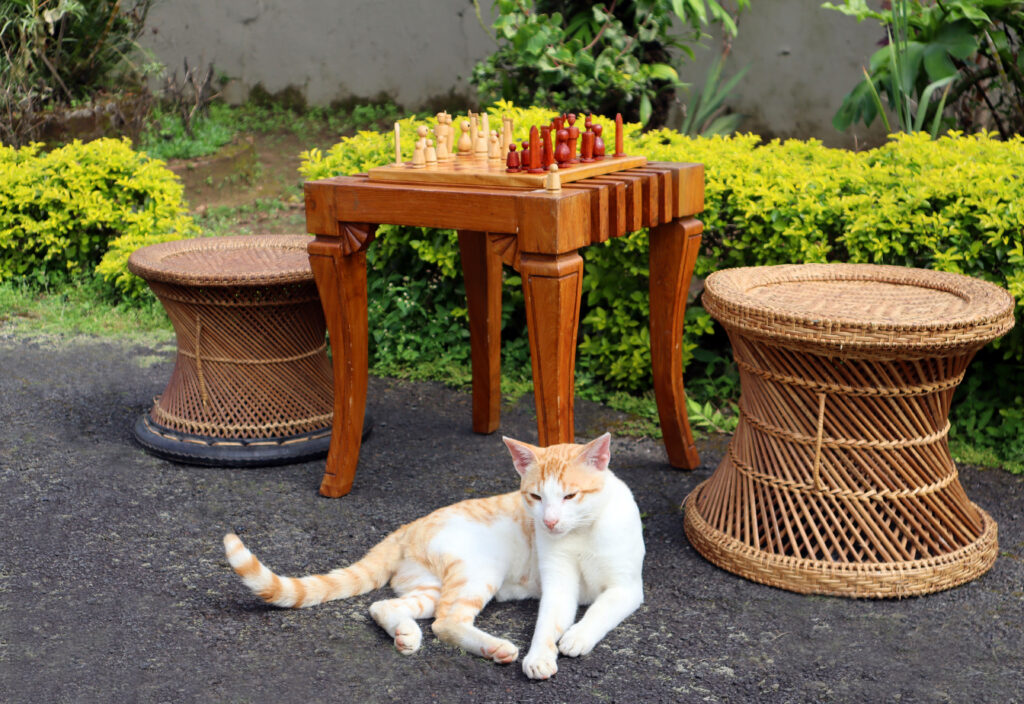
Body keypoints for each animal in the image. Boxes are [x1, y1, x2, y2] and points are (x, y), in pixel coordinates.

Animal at [224, 431, 643, 679]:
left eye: (570, 496)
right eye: (535, 497)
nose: (550, 521)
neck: (582, 532)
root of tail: (408, 526)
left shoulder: (626, 588)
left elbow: (600, 610)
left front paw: (577, 637)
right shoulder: (558, 586)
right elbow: (546, 625)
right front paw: (541, 654)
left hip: (431, 586)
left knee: (384, 606)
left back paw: (407, 634)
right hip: (479, 571)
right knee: (446, 622)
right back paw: (494, 647)